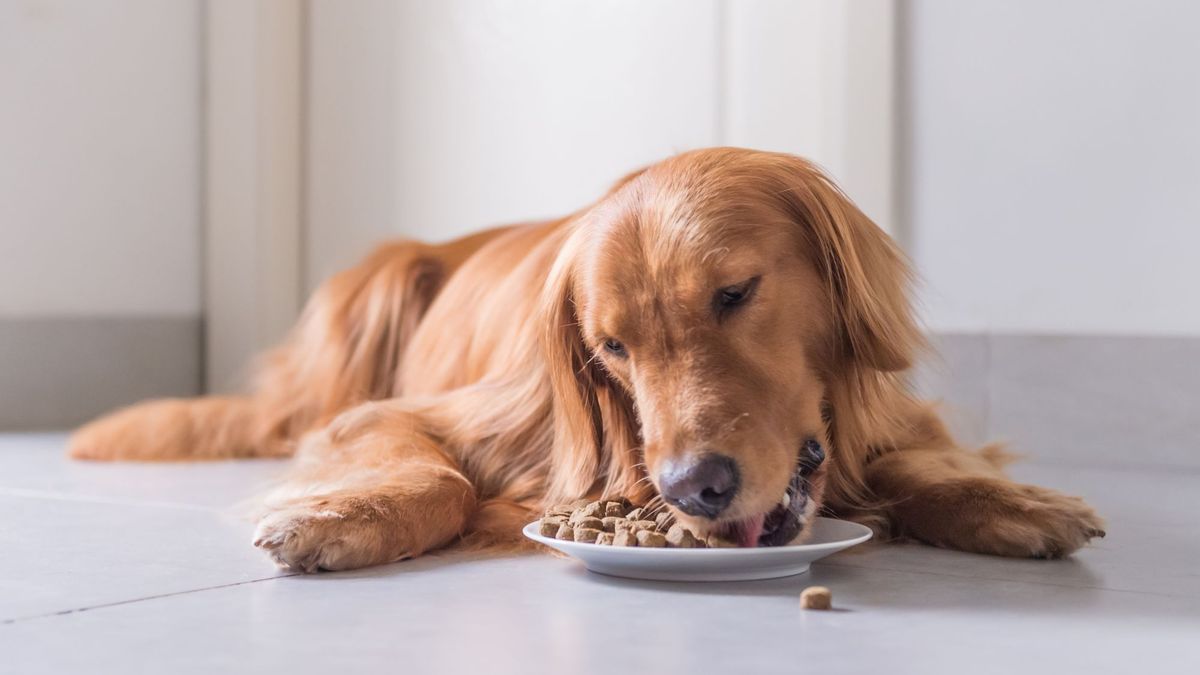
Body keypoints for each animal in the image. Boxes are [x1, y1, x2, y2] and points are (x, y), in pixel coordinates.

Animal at [68, 145, 1104, 566]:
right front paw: (344, 516)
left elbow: (925, 461)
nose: (696, 489)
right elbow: (438, 474)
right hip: (374, 288)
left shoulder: (889, 414)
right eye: (612, 349)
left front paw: (1014, 502)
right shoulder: (397, 414)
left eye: (736, 293)